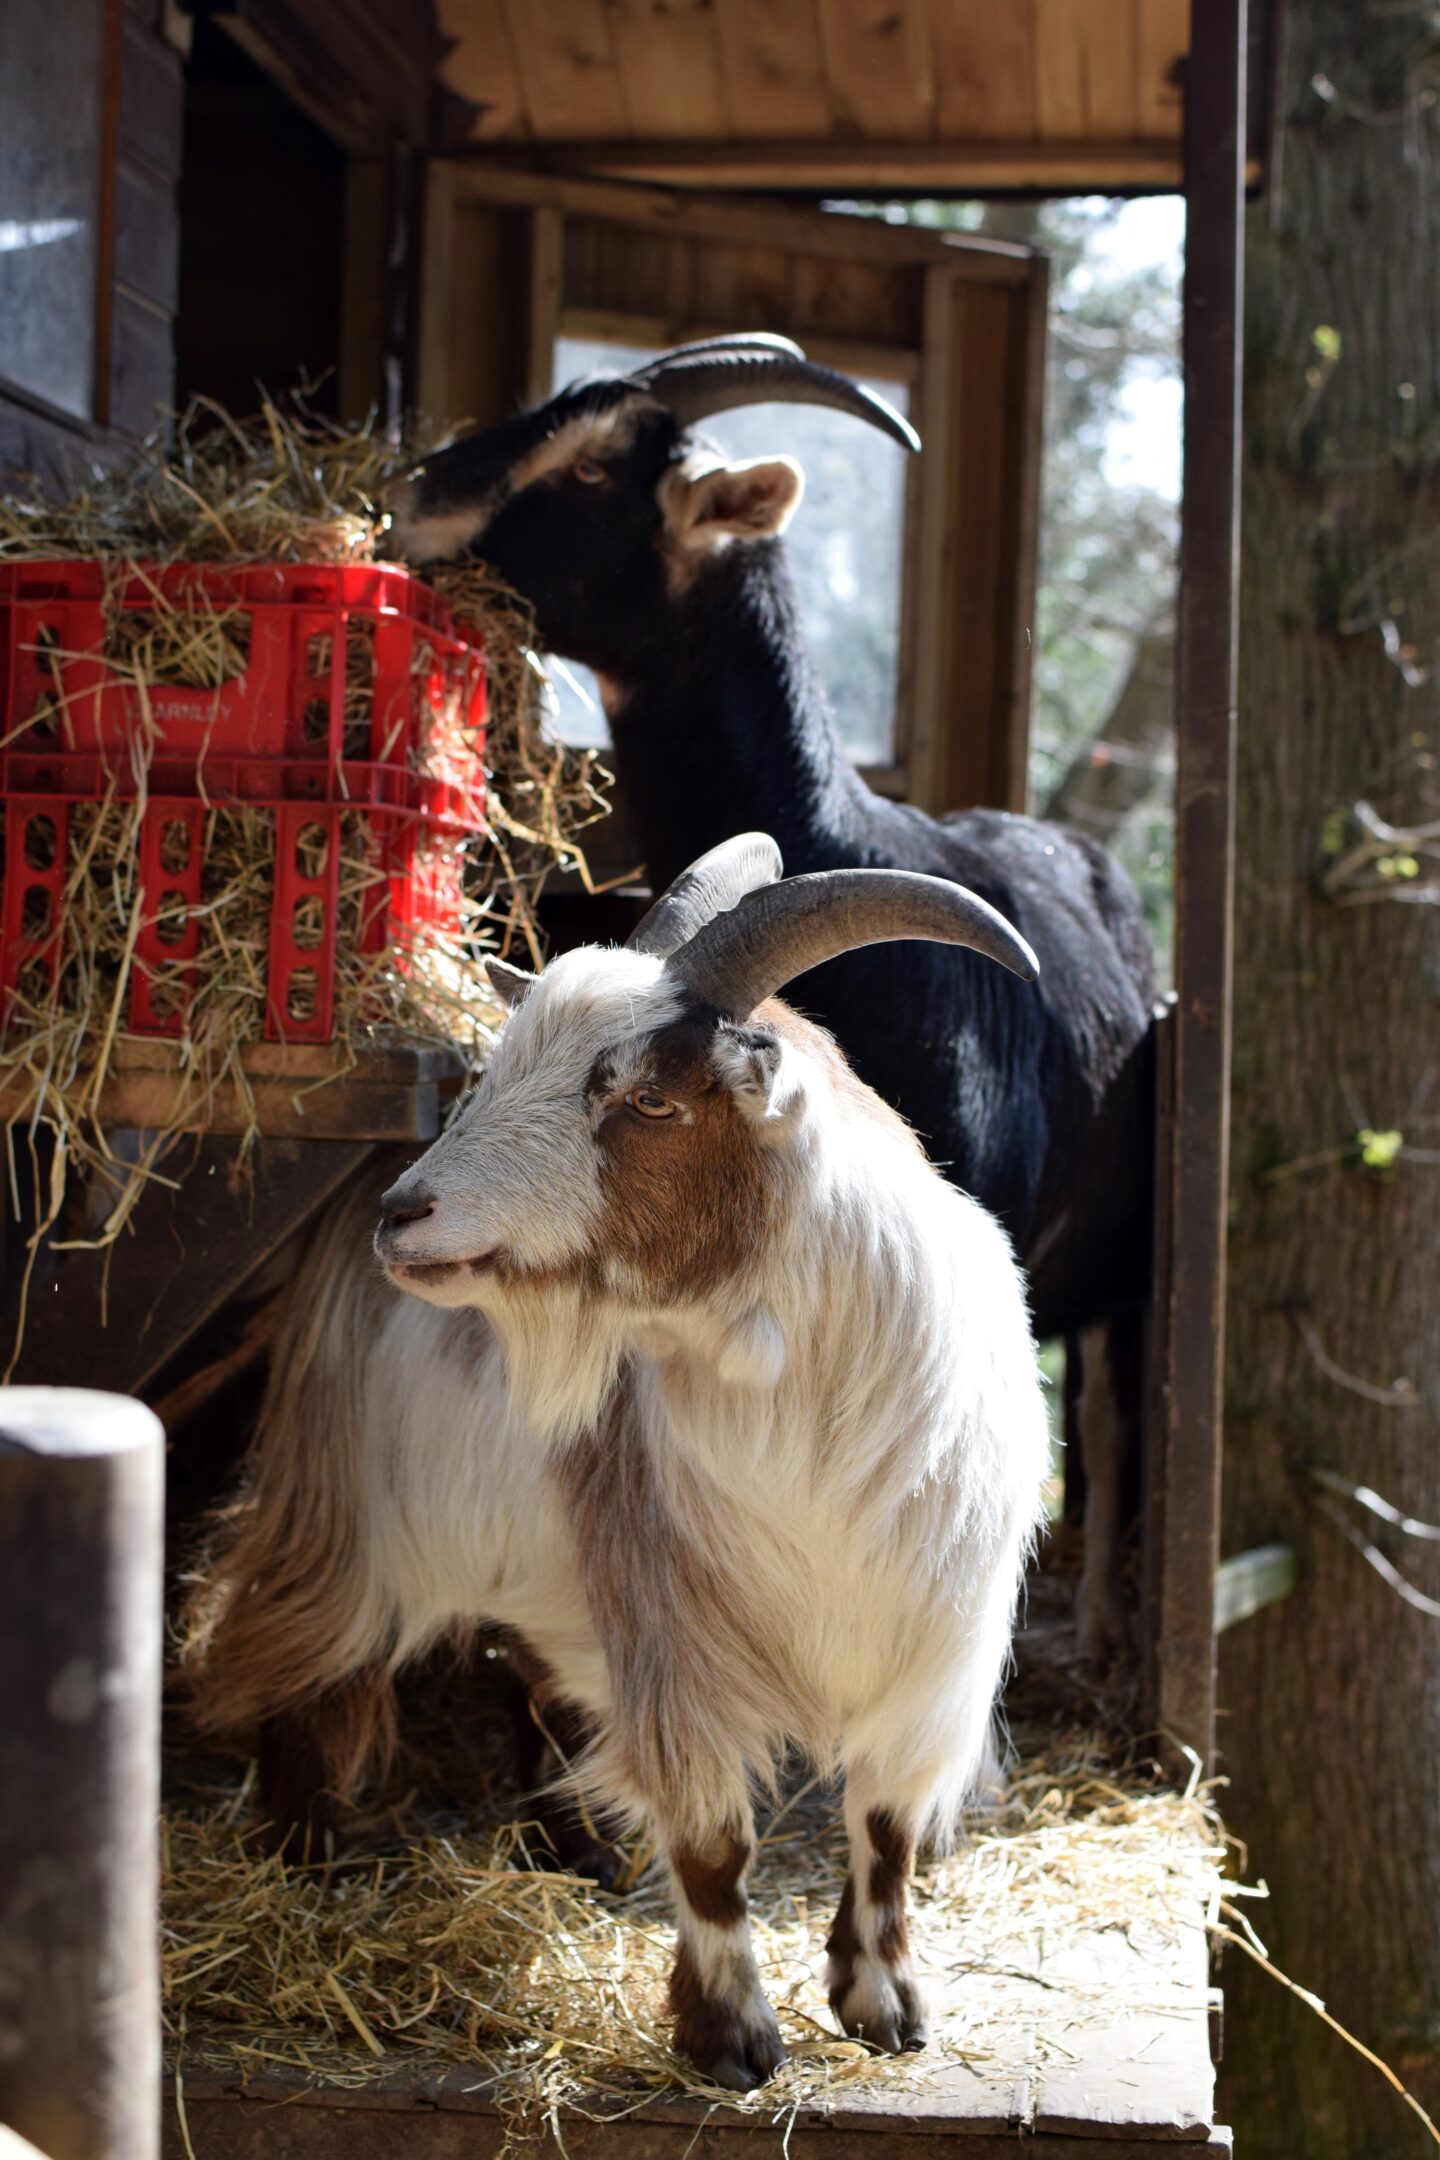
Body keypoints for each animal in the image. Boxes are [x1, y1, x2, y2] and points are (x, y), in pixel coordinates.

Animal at [191, 836, 1050, 2089]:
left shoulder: (928, 1654)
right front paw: (730, 2040)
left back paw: (576, 1846)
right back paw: (308, 1850)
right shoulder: (671, 1634)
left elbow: (884, 1830)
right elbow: (713, 1844)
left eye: (648, 1097)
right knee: (289, 1645)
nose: (409, 1214)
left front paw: (884, 2006)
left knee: (529, 1671)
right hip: (343, 1506)